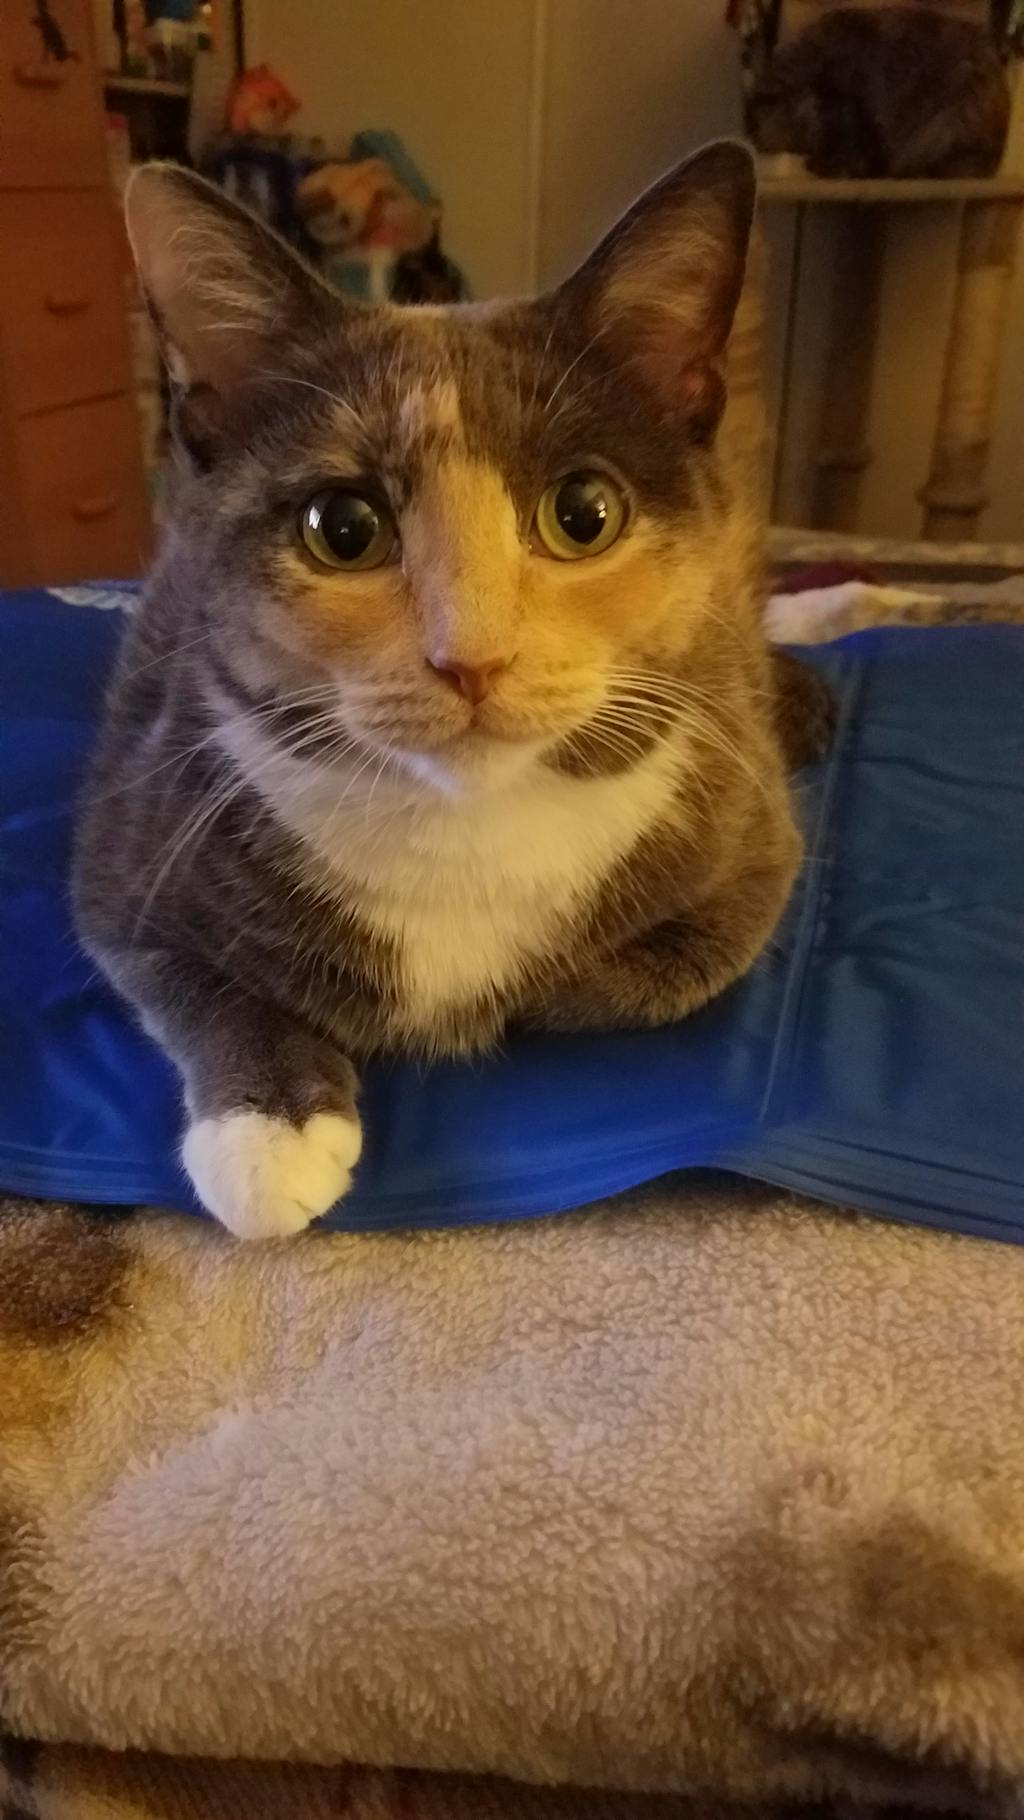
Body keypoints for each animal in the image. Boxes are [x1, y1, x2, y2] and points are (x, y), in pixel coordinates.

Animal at [74, 141, 820, 1243]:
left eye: (584, 512)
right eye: (342, 527)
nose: (470, 656)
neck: (464, 827)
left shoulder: (751, 848)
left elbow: (650, 976)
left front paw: (495, 1004)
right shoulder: (133, 842)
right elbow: (186, 978)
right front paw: (268, 1131)